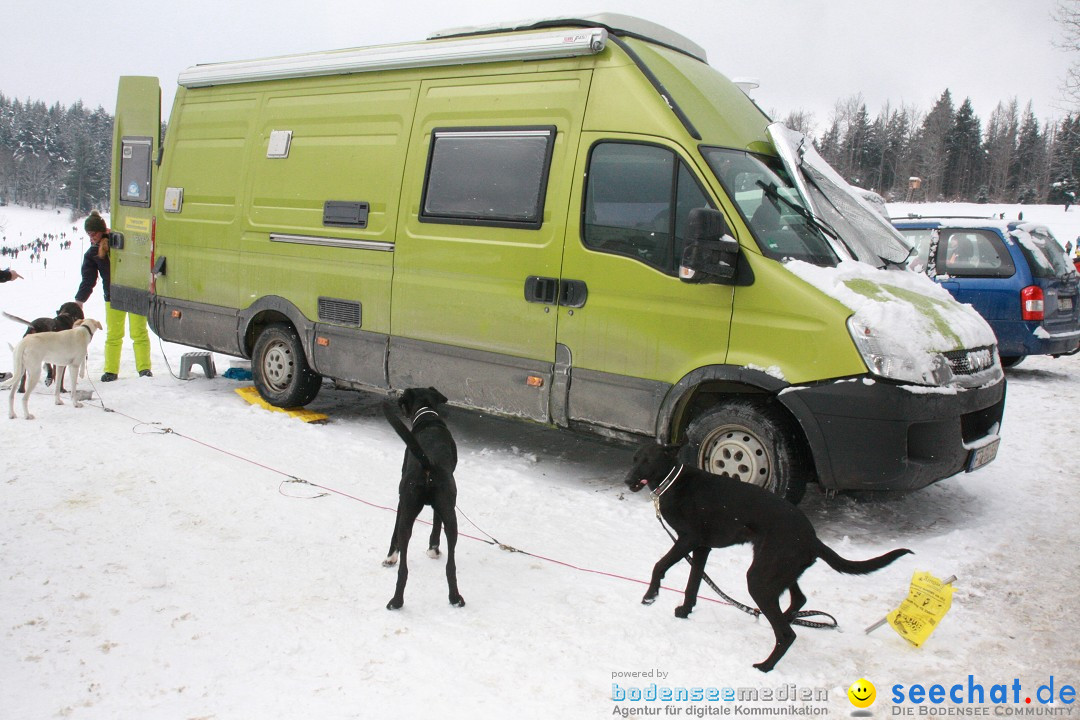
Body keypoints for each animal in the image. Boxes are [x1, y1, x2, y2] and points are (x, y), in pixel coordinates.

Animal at [380, 386, 464, 613]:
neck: (428, 416)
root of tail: (428, 464)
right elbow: (434, 522)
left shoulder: (401, 502)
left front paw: (390, 557)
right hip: (450, 515)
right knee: (450, 565)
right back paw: (454, 597)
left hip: (414, 509)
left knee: (405, 568)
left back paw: (397, 600)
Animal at [626, 442, 911, 673]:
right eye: (634, 458)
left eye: (647, 461)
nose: (628, 479)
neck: (673, 480)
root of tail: (812, 538)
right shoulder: (702, 547)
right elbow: (693, 583)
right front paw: (685, 611)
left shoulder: (688, 539)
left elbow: (659, 565)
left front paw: (650, 595)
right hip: (777, 570)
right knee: (798, 600)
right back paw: (781, 620)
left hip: (760, 578)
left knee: (787, 634)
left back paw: (765, 665)